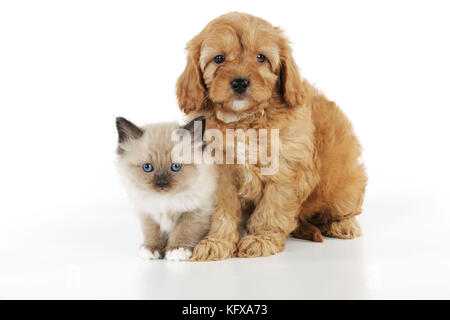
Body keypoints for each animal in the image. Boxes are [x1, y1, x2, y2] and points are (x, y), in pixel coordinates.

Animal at [115, 116, 215, 262]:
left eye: (176, 167)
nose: (161, 184)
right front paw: (151, 249)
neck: (165, 200)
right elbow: (152, 233)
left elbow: (184, 230)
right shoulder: (148, 213)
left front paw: (177, 250)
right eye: (147, 167)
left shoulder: (195, 212)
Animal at [175, 12, 366, 260]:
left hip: (344, 185)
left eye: (261, 58)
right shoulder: (219, 174)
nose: (240, 82)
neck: (244, 120)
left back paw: (343, 224)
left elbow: (272, 208)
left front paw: (261, 238)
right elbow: (221, 211)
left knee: (343, 208)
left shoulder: (286, 168)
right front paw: (216, 241)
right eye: (218, 59)